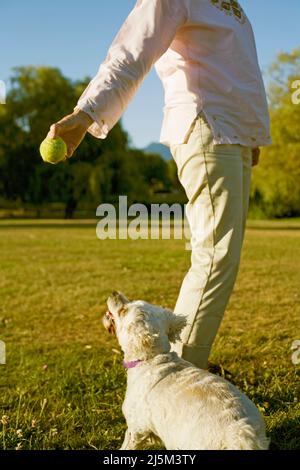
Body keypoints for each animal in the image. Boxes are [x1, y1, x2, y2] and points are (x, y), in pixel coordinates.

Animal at [103, 292, 270, 450]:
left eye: (123, 310)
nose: (114, 293)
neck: (152, 358)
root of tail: (241, 435)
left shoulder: (137, 428)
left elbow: (127, 445)